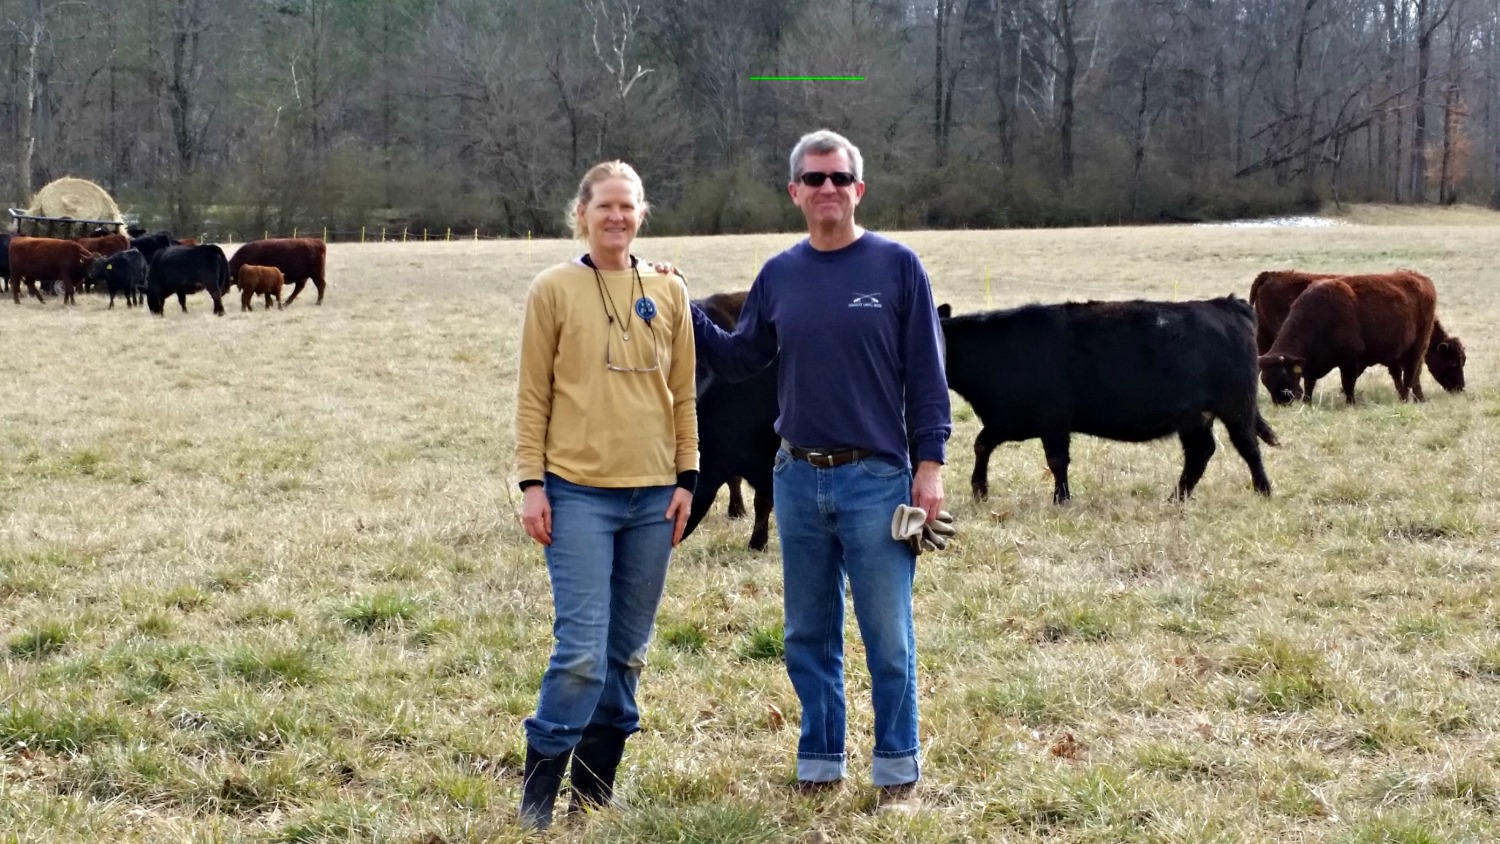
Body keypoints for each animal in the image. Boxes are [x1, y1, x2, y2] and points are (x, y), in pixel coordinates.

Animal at [939, 296, 1277, 503]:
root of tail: (1226, 304)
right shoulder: (1008, 420)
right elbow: (982, 444)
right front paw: (980, 490)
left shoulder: (1053, 419)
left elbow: (1057, 460)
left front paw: (1061, 499)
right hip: (1194, 418)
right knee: (1200, 453)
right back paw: (1176, 498)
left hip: (1237, 407)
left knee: (1248, 447)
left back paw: (1263, 491)